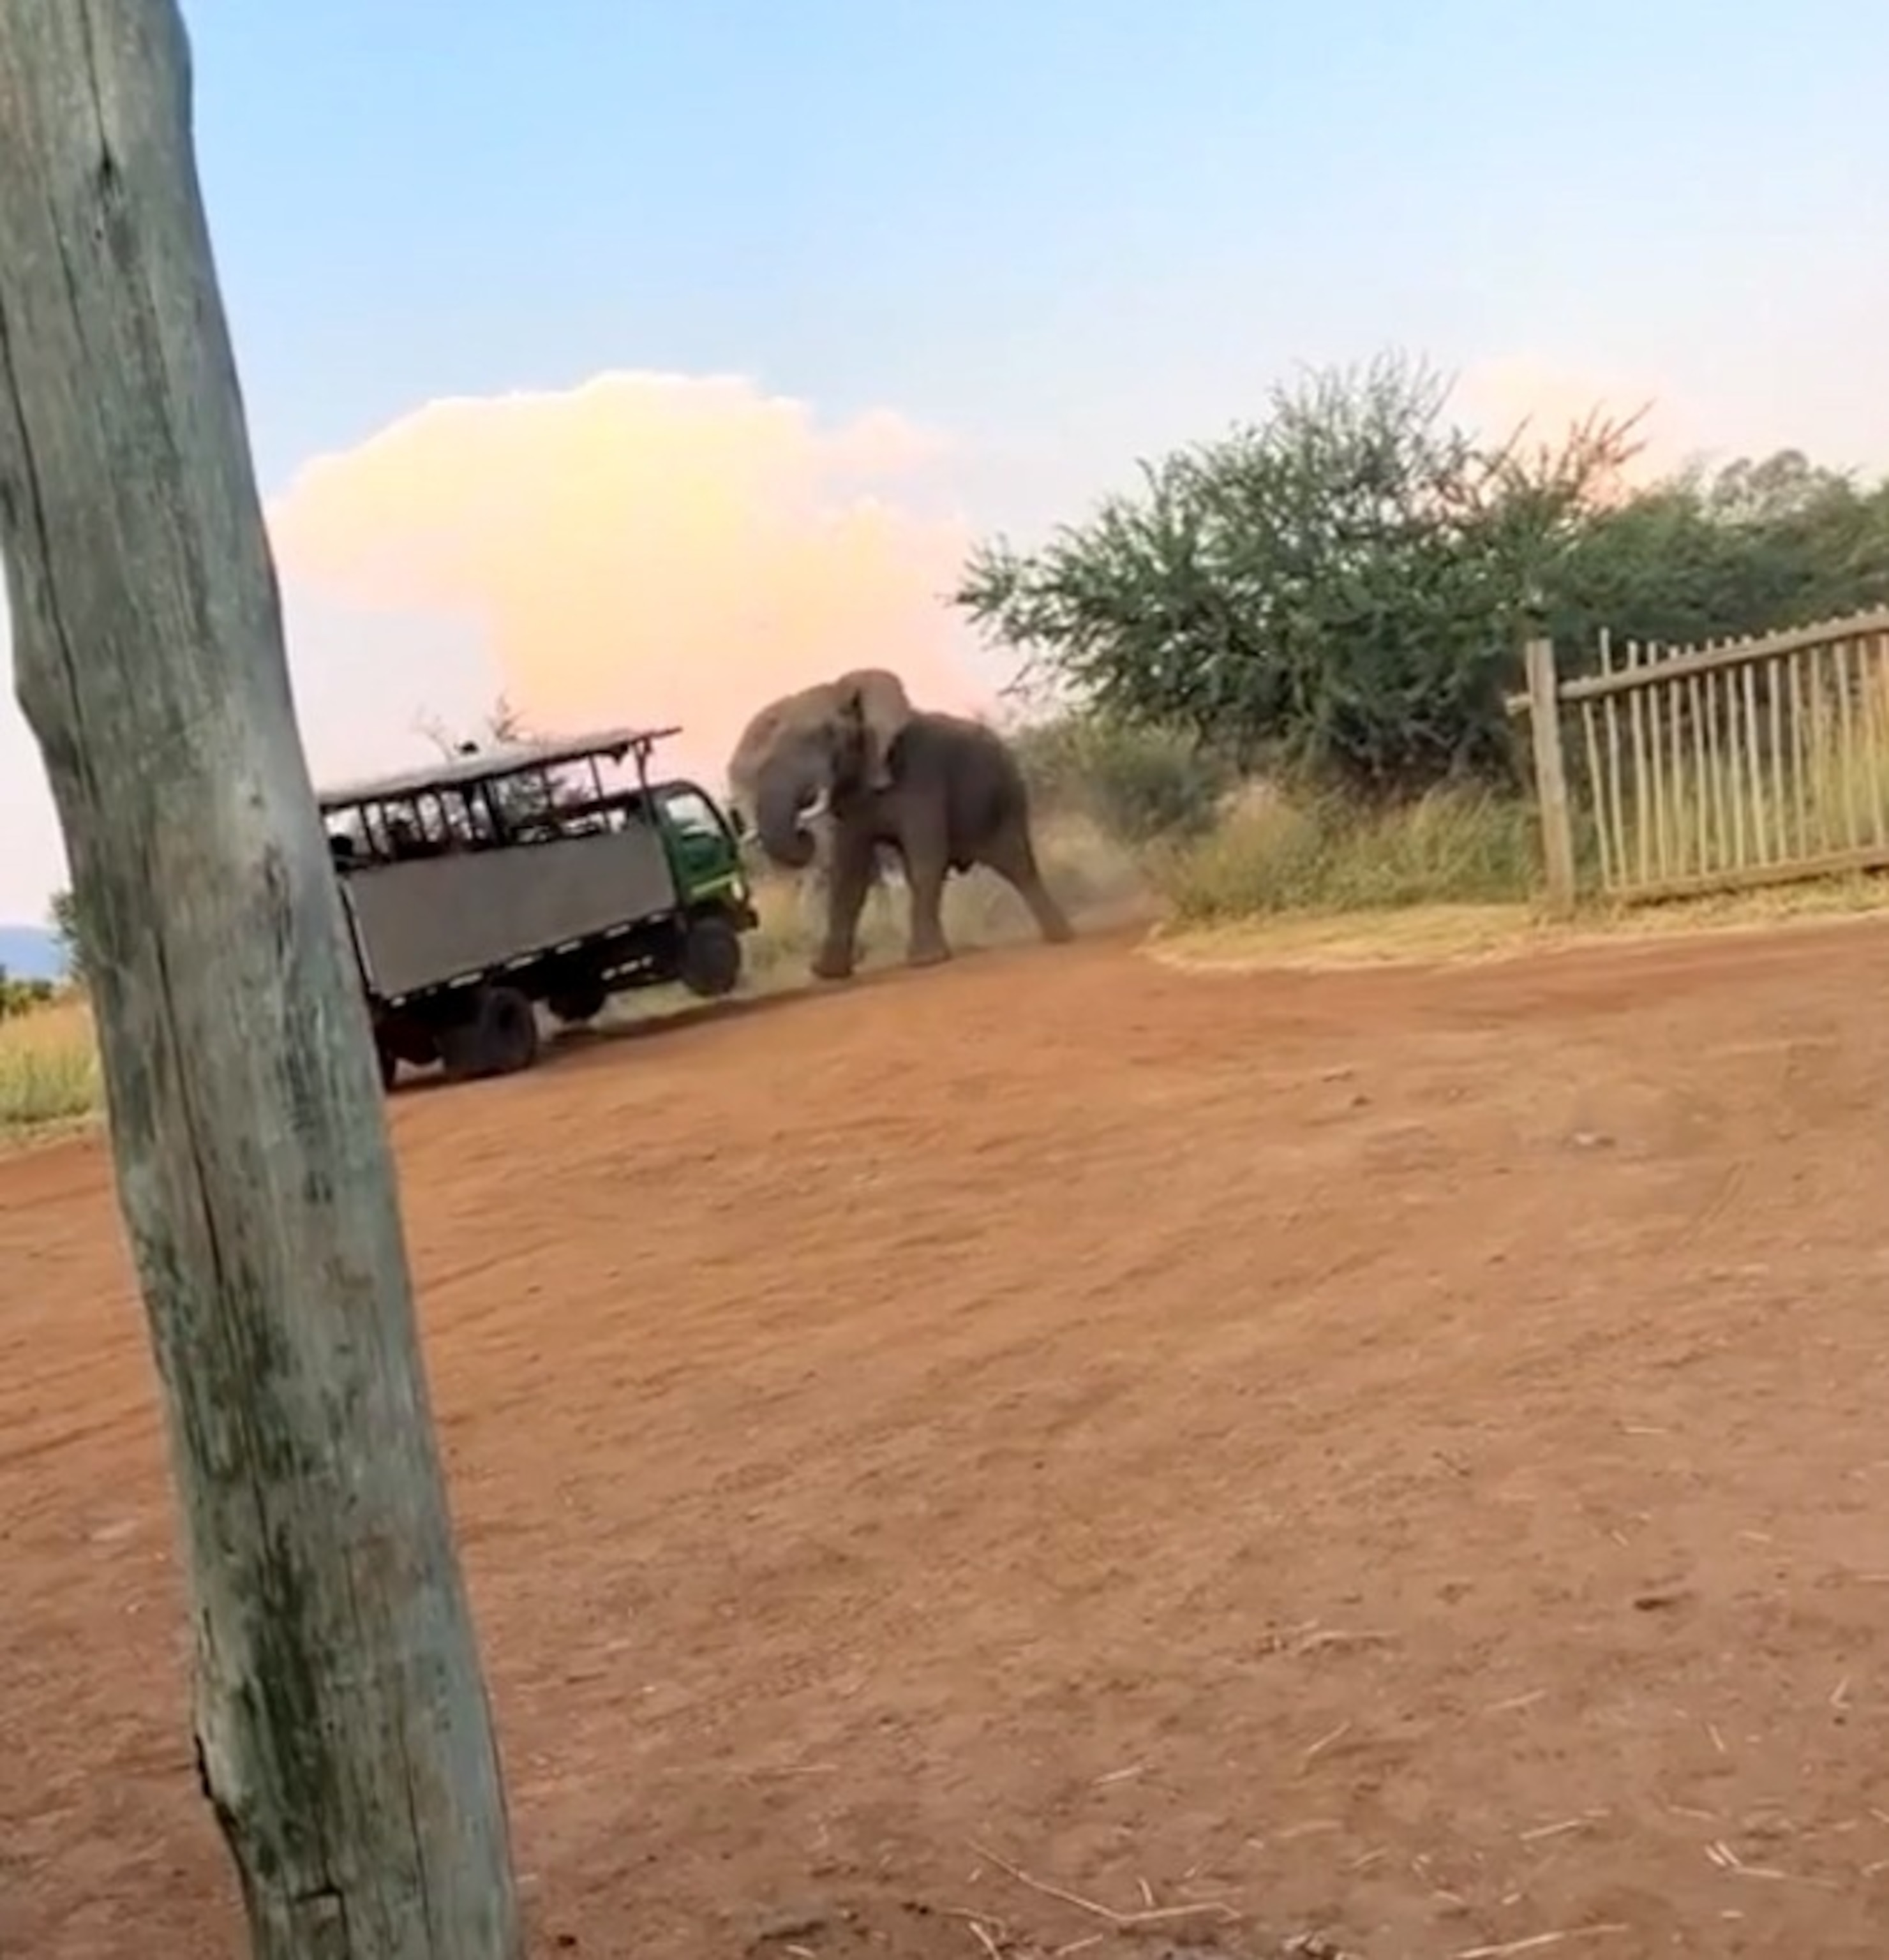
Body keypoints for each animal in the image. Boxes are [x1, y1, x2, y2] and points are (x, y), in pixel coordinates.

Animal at [725, 670, 1073, 980]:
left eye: (828, 736)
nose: (804, 831)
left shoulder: (923, 773)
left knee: (1017, 864)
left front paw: (927, 962)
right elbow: (848, 877)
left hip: (1008, 793)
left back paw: (1060, 937)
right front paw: (827, 973)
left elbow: (925, 860)